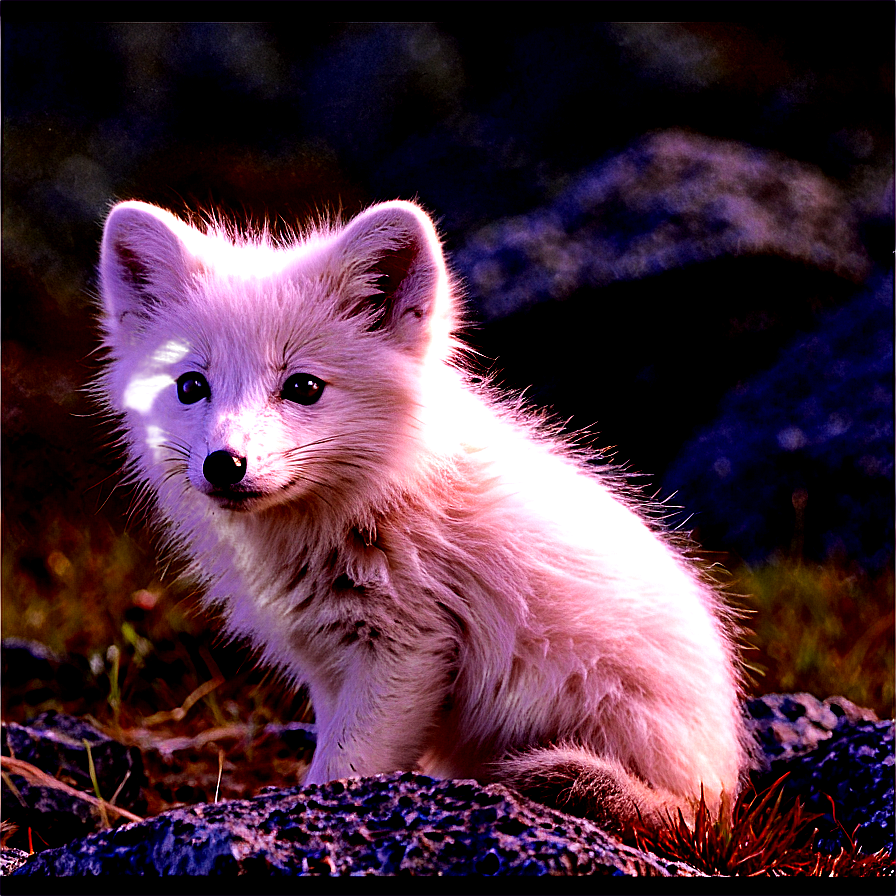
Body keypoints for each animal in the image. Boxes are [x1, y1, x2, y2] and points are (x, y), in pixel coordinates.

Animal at [96, 200, 748, 828]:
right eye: (190, 387)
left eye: (303, 387)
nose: (225, 464)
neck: (368, 506)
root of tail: (722, 787)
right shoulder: (330, 666)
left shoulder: (407, 651)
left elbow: (343, 770)